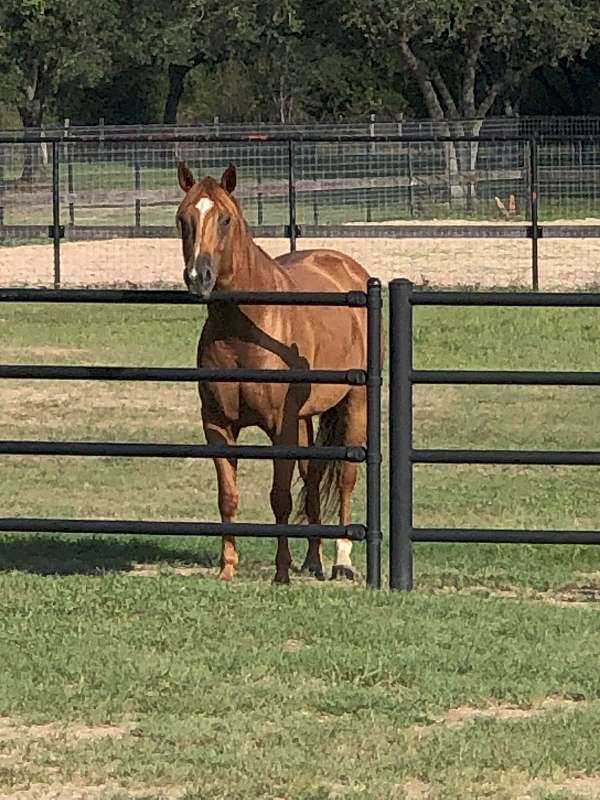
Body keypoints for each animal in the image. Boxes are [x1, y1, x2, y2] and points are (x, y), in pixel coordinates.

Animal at [173, 162, 370, 584]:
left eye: (225, 219)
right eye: (183, 219)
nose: (199, 276)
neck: (246, 328)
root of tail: (346, 266)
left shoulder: (281, 426)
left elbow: (279, 497)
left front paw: (281, 572)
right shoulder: (218, 425)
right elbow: (228, 497)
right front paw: (227, 567)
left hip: (355, 403)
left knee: (345, 478)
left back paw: (342, 562)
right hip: (306, 420)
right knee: (312, 478)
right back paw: (313, 560)